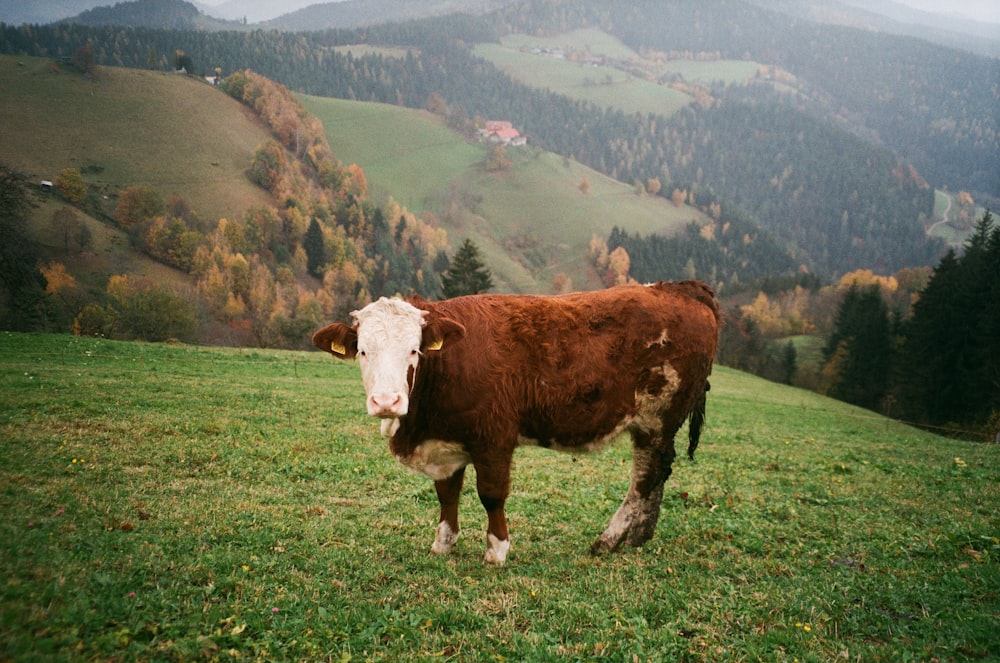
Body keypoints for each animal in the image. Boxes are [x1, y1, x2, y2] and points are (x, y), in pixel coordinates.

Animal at [312, 282, 720, 564]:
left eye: (414, 350)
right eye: (363, 351)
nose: (386, 402)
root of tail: (678, 287)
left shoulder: (494, 437)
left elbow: (491, 494)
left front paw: (497, 550)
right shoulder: (445, 441)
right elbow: (447, 494)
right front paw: (444, 543)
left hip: (656, 417)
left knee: (645, 479)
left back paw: (608, 540)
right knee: (658, 476)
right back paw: (637, 538)